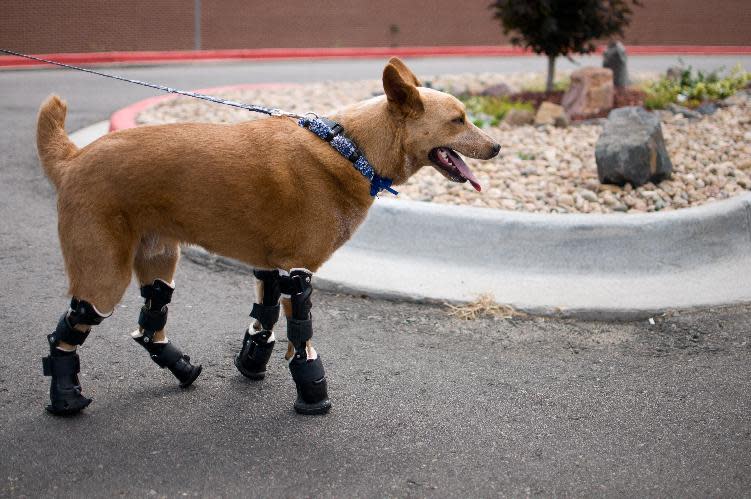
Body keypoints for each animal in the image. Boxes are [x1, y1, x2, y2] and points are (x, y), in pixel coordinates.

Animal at [38, 58, 502, 416]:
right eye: (458, 120)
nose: (498, 147)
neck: (352, 150)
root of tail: (74, 158)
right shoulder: (299, 273)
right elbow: (301, 338)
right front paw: (312, 393)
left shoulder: (271, 268)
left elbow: (265, 320)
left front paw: (251, 365)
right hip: (104, 277)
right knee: (69, 333)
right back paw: (66, 399)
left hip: (159, 262)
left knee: (149, 325)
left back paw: (183, 369)